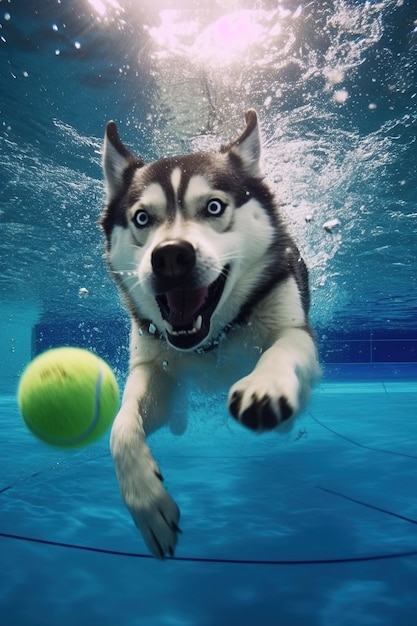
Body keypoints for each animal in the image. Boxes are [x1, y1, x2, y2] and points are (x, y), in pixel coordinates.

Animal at [100, 109, 318, 560]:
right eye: (142, 217)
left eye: (214, 207)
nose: (170, 256)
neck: (212, 339)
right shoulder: (152, 365)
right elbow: (121, 427)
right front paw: (148, 504)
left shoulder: (293, 326)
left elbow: (283, 348)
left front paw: (266, 387)